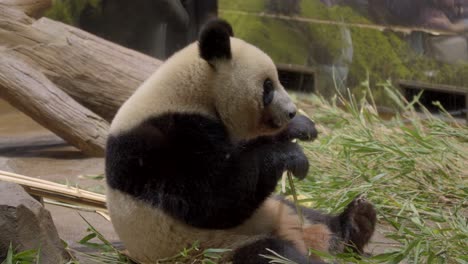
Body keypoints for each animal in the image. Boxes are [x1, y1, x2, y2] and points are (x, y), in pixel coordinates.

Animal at [106, 19, 376, 264]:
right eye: (268, 86)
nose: (291, 112)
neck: (190, 91)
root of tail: (300, 239)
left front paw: (301, 127)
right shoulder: (165, 140)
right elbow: (212, 200)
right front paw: (292, 155)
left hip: (279, 209)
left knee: (316, 219)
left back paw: (356, 222)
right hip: (216, 248)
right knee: (272, 254)